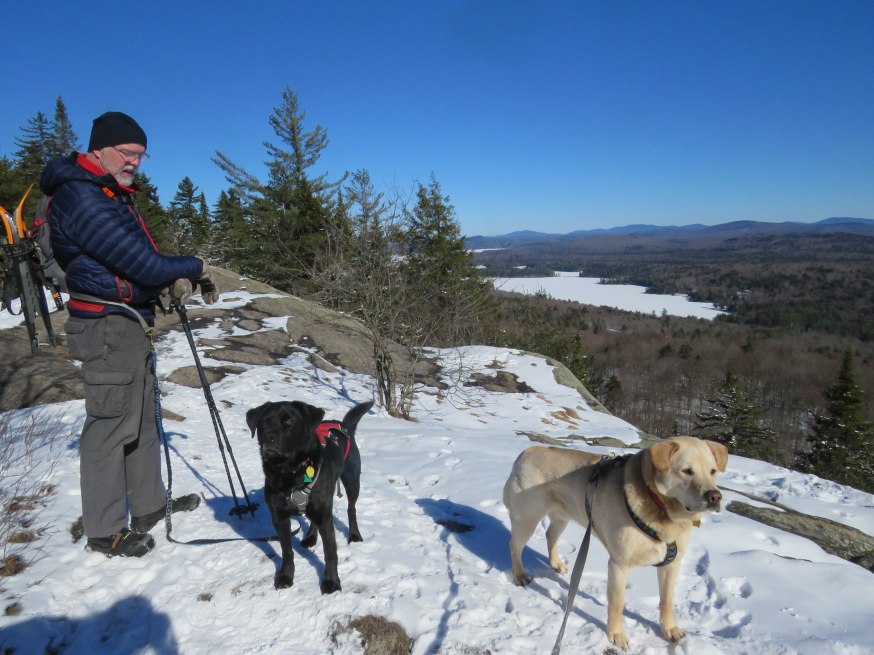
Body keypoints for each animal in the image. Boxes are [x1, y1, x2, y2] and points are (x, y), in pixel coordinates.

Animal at [247, 399, 374, 594]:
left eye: (288, 421)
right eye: (264, 422)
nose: (269, 437)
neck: (289, 472)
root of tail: (344, 426)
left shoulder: (325, 518)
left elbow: (330, 553)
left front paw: (331, 582)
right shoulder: (279, 518)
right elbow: (287, 551)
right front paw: (285, 576)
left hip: (352, 481)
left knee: (351, 508)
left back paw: (354, 535)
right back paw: (310, 538)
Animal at [503, 436, 728, 650]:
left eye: (713, 471)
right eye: (687, 471)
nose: (715, 496)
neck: (660, 508)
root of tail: (526, 452)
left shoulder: (671, 564)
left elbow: (666, 600)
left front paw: (670, 629)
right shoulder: (620, 565)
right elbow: (617, 604)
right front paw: (616, 635)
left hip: (561, 516)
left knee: (550, 535)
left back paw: (557, 564)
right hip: (527, 518)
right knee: (514, 545)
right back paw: (519, 575)